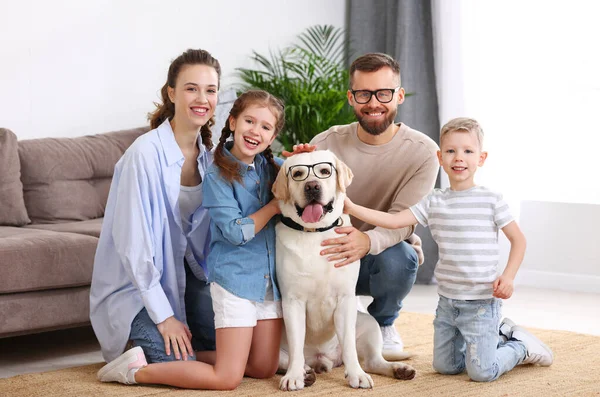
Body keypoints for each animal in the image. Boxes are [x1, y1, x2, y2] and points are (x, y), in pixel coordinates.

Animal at [274, 149, 418, 390]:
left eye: (324, 171)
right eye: (298, 174)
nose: (312, 186)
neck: (315, 233)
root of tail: (323, 360)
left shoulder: (344, 300)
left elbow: (349, 345)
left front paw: (356, 376)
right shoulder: (292, 302)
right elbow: (295, 345)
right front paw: (294, 376)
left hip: (368, 323)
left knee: (373, 361)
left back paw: (398, 369)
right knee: (285, 359)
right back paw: (305, 372)